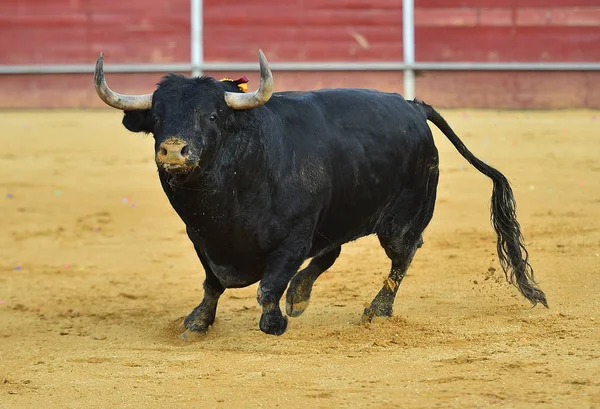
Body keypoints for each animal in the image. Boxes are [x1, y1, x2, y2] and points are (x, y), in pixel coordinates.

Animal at [95, 49, 548, 334]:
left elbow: (267, 286)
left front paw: (273, 323)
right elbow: (212, 284)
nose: (173, 150)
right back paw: (301, 296)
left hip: (402, 219)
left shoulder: (294, 235)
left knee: (403, 255)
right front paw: (197, 322)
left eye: (211, 115)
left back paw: (376, 311)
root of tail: (413, 106)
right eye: (157, 118)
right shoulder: (202, 238)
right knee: (333, 253)